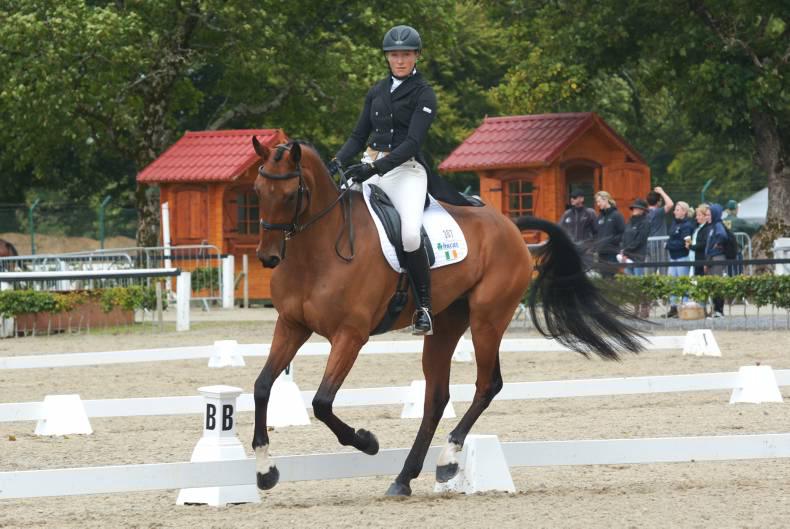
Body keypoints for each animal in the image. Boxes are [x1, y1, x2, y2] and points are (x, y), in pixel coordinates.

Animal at [250, 138, 644, 496]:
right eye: (258, 191)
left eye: (290, 194)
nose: (268, 257)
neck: (316, 254)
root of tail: (509, 225)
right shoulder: (292, 325)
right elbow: (263, 386)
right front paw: (265, 470)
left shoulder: (351, 335)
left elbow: (322, 402)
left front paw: (367, 441)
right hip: (446, 325)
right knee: (436, 398)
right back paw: (404, 478)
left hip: (488, 320)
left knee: (488, 385)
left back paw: (448, 460)